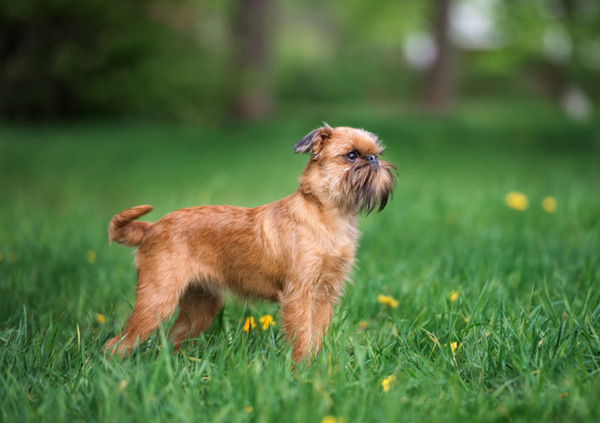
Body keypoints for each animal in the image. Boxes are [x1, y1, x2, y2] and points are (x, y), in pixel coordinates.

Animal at [105, 126, 396, 364]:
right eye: (351, 155)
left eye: (377, 153)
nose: (373, 159)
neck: (326, 215)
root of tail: (152, 227)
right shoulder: (299, 295)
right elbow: (302, 337)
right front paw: (301, 373)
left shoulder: (325, 295)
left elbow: (315, 336)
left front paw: (316, 370)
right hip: (158, 299)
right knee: (116, 344)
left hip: (201, 306)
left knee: (172, 339)